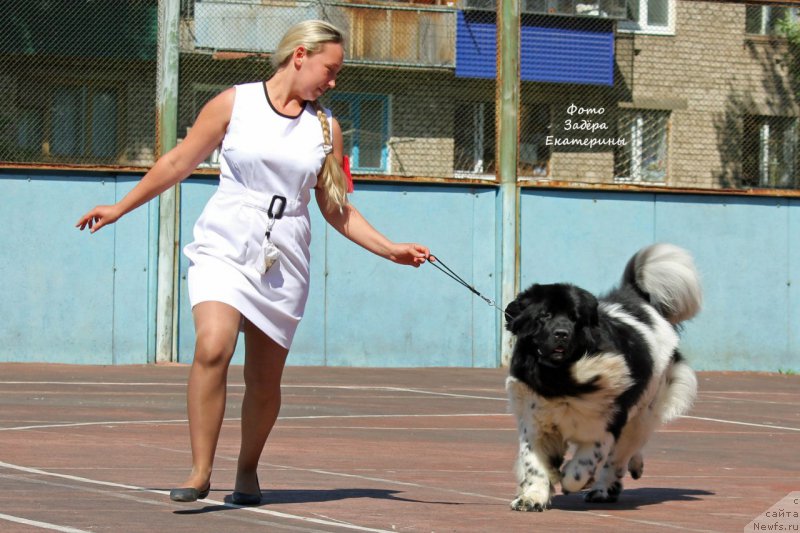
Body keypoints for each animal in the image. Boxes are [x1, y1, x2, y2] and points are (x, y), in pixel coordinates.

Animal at [506, 243, 700, 510]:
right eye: (544, 315)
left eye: (575, 318)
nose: (561, 333)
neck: (560, 377)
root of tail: (636, 297)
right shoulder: (534, 423)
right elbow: (533, 464)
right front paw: (532, 497)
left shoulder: (605, 426)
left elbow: (583, 465)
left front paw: (572, 479)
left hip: (643, 411)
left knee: (620, 455)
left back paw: (603, 489)